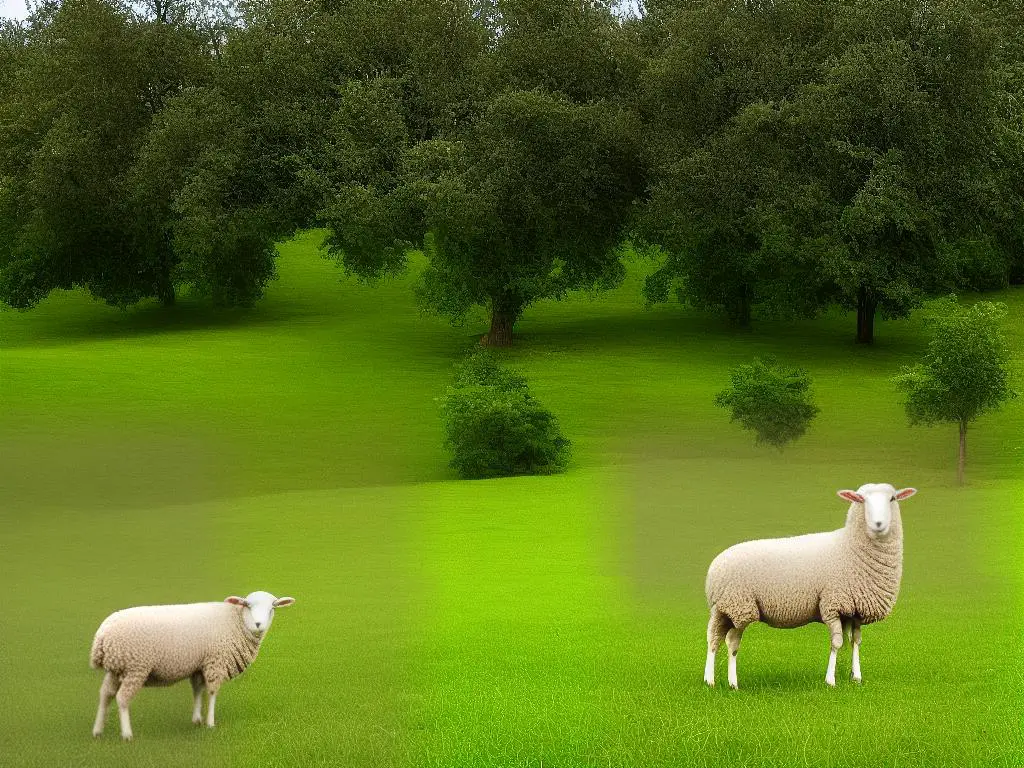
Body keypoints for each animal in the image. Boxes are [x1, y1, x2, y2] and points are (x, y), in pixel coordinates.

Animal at [89, 593, 294, 741]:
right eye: (248, 605)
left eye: (272, 607)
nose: (259, 624)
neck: (236, 620)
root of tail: (102, 634)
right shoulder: (215, 661)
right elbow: (211, 692)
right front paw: (210, 723)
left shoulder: (200, 665)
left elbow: (198, 690)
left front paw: (197, 720)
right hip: (135, 667)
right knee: (122, 698)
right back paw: (127, 734)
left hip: (117, 668)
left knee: (105, 695)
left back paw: (98, 730)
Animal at [700, 481, 917, 692]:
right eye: (860, 499)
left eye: (892, 498)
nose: (879, 524)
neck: (849, 547)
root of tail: (715, 567)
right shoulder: (832, 605)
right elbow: (837, 643)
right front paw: (830, 681)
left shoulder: (855, 609)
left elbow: (855, 641)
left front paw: (856, 677)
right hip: (740, 607)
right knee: (731, 642)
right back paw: (733, 683)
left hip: (722, 609)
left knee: (714, 639)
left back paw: (709, 681)